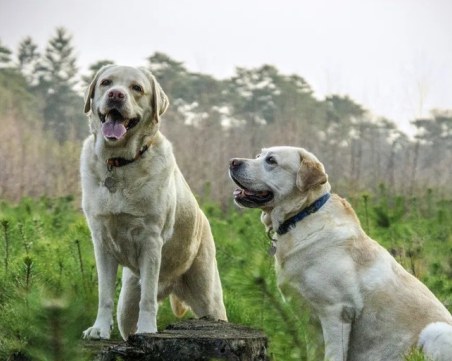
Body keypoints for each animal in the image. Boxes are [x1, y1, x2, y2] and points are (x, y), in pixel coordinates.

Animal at [230, 146, 452, 360]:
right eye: (258, 155)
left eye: (271, 161)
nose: (233, 162)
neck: (302, 215)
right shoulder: (311, 323)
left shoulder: (336, 311)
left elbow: (333, 355)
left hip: (435, 331)